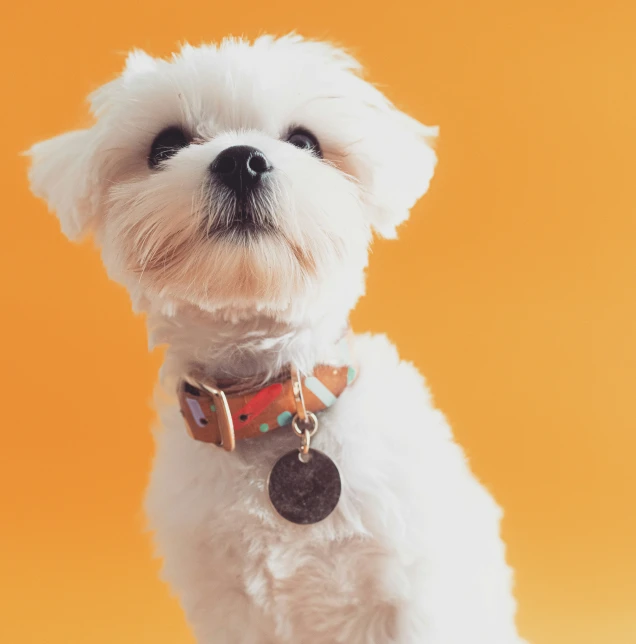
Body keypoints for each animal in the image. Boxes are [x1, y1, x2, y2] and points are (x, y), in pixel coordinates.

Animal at [28, 35, 528, 644]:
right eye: (165, 144)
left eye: (305, 141)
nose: (240, 159)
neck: (271, 409)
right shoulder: (226, 607)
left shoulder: (418, 594)